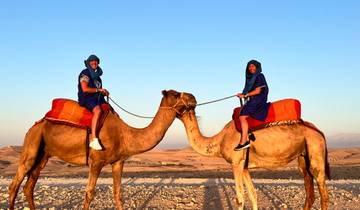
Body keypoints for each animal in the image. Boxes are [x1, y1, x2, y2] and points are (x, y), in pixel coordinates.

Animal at [7, 90, 191, 210]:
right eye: (176, 94)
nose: (193, 97)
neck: (124, 134)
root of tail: (34, 125)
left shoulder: (118, 162)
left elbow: (117, 193)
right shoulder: (96, 161)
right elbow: (89, 193)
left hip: (43, 154)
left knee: (29, 186)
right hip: (31, 144)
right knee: (14, 185)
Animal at [176, 93, 330, 210]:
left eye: (177, 95)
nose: (192, 96)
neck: (220, 140)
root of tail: (319, 131)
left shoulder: (236, 163)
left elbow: (240, 198)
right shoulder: (244, 167)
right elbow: (252, 195)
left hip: (315, 148)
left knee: (324, 193)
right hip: (303, 156)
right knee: (309, 192)